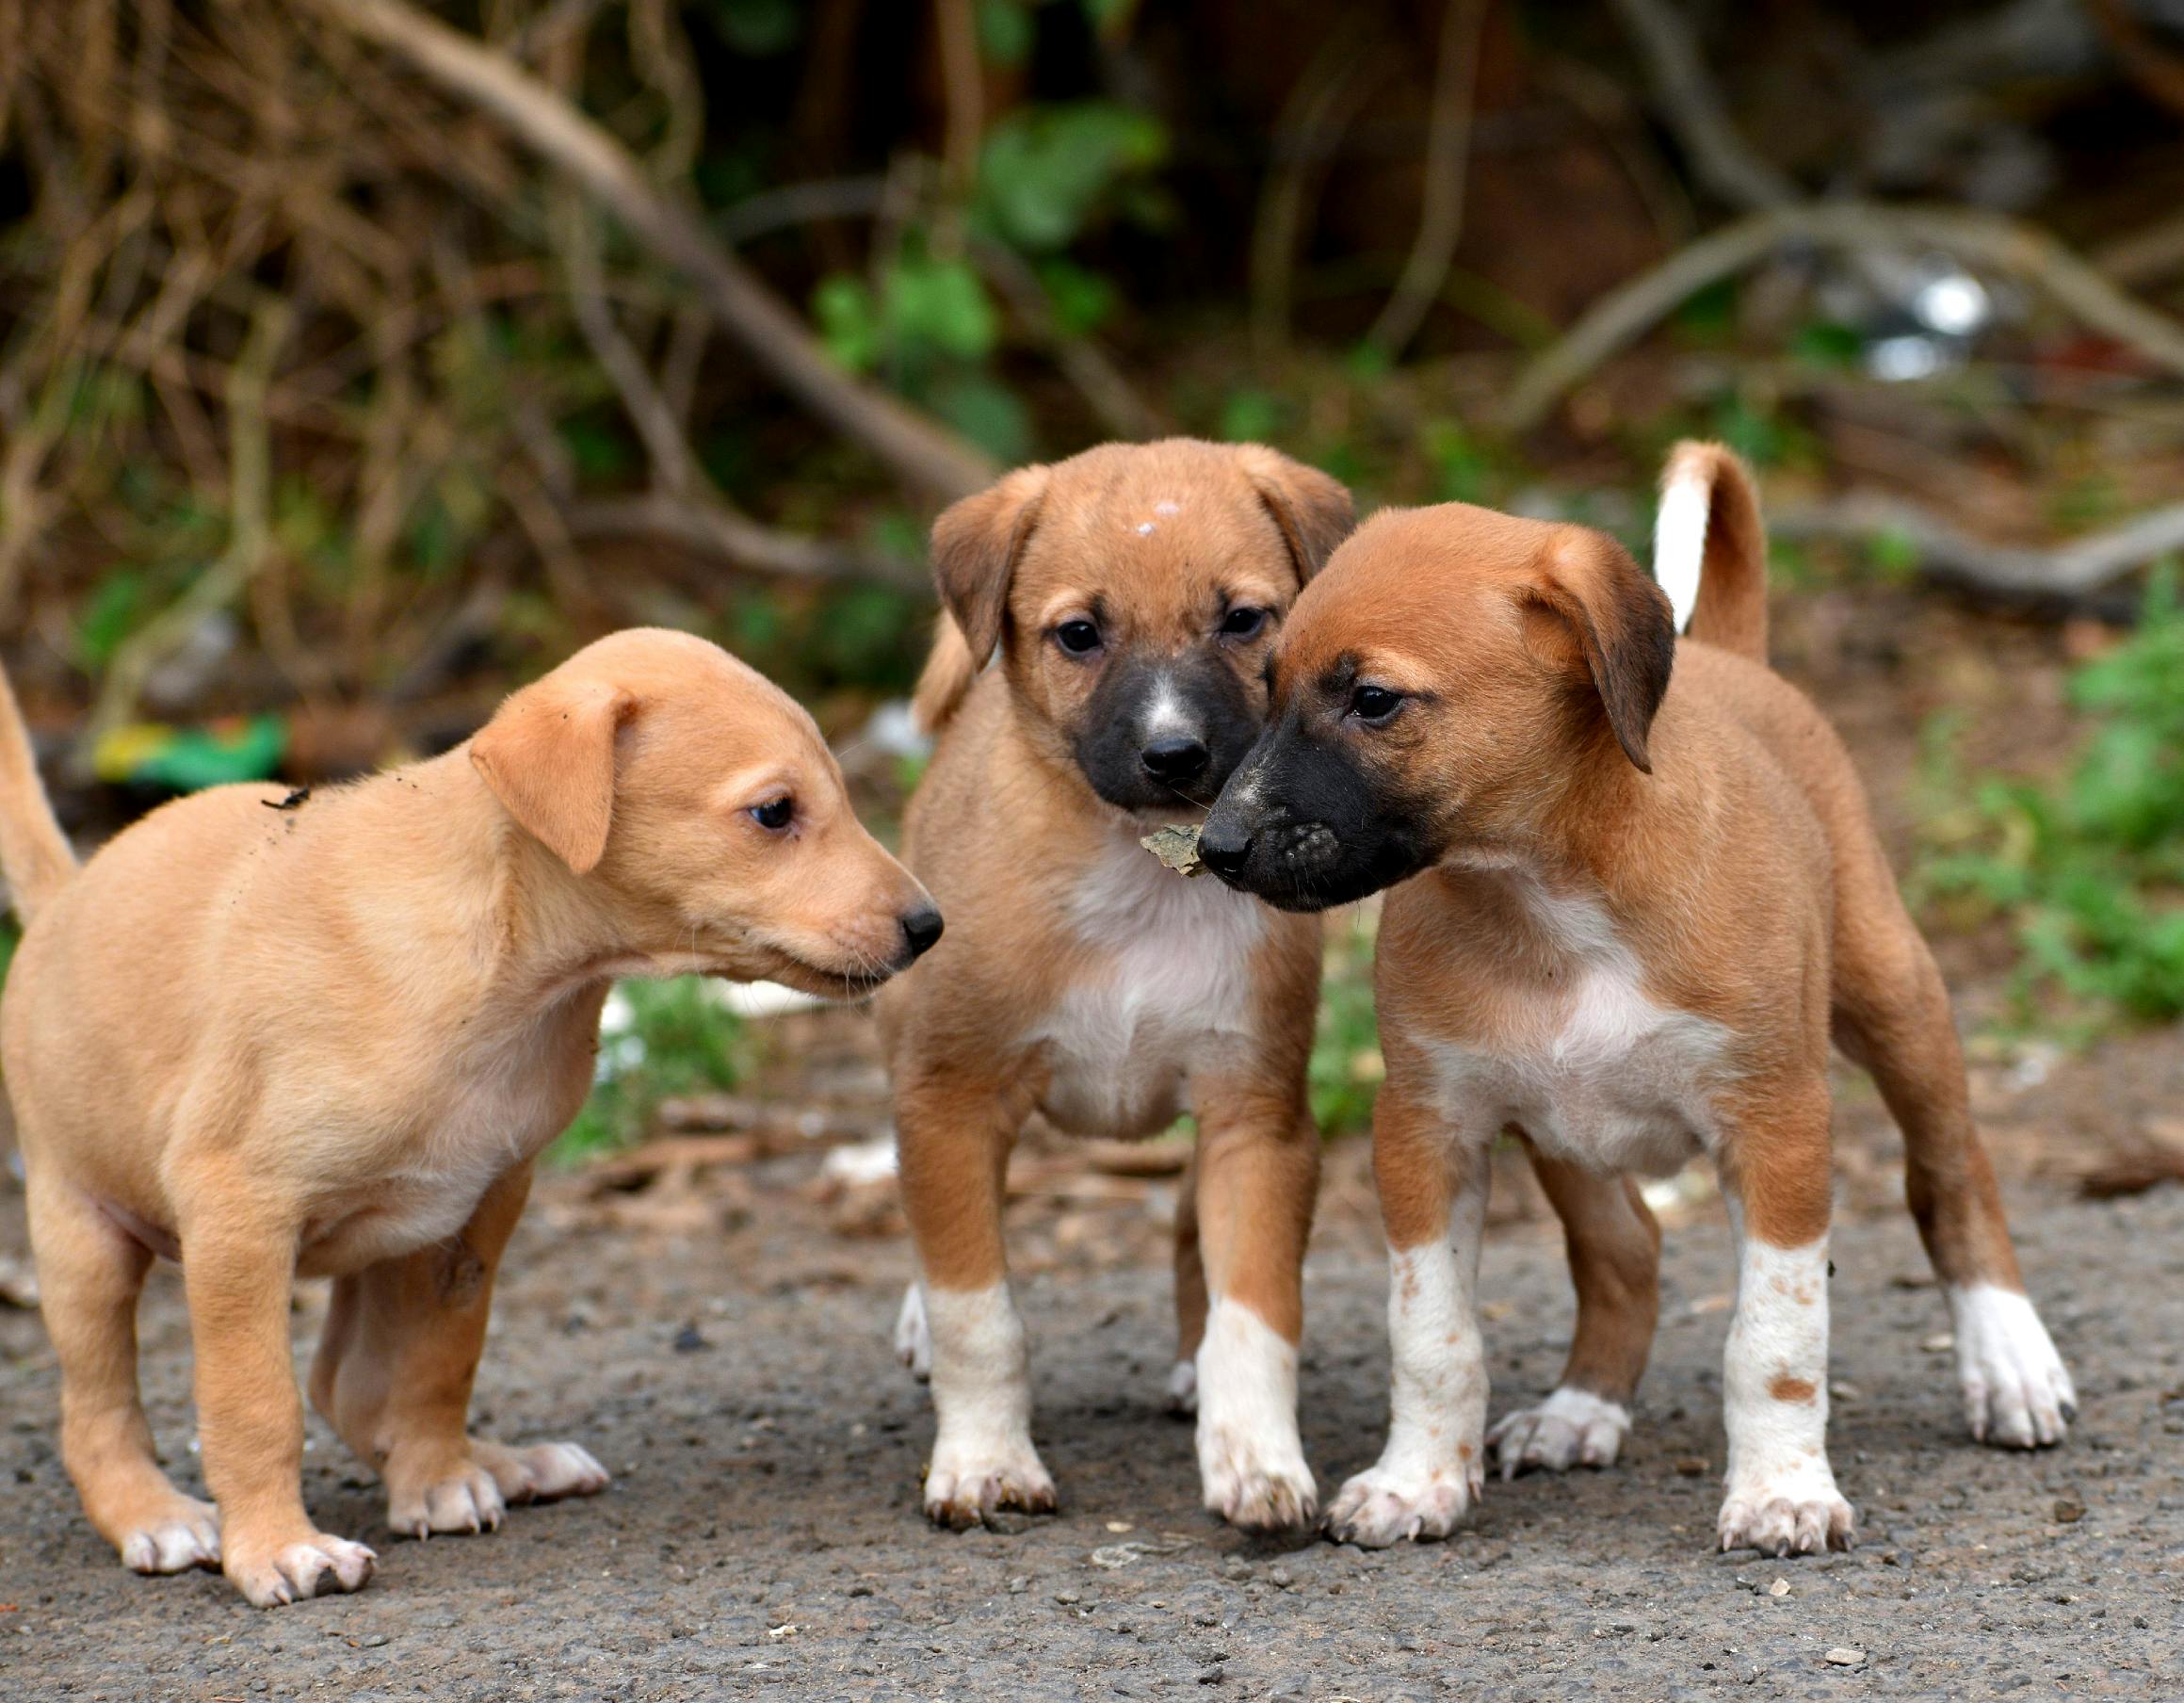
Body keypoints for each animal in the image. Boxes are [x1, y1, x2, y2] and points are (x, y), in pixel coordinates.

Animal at [0, 633, 939, 1607]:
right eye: (773, 813)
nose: (929, 927)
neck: (510, 977)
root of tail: (65, 899)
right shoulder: (238, 1211)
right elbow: (254, 1402)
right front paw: (276, 1547)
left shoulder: (475, 1207)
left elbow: (438, 1363)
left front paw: (440, 1479)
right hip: (84, 1239)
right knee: (97, 1413)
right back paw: (155, 1515)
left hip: (383, 1238)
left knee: (349, 1385)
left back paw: (505, 1461)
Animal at [868, 436, 1345, 1528]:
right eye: (1079, 635)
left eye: (1243, 618)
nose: (1175, 755)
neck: (1142, 879)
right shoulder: (951, 1099)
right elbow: (976, 1308)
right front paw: (985, 1458)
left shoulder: (1258, 1117)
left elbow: (1254, 1311)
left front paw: (1256, 1456)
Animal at [1205, 443, 2070, 1554]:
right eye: (1266, 684)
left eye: (1374, 700)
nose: (1216, 847)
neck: (1551, 900)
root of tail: (1737, 658)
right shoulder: (1426, 1130)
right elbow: (1432, 1332)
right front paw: (1415, 1479)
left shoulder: (1778, 1124)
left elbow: (1775, 1339)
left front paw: (1782, 1489)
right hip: (1566, 1133)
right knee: (1626, 1250)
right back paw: (1581, 1409)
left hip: (1895, 997)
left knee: (1952, 1174)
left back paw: (2009, 1360)